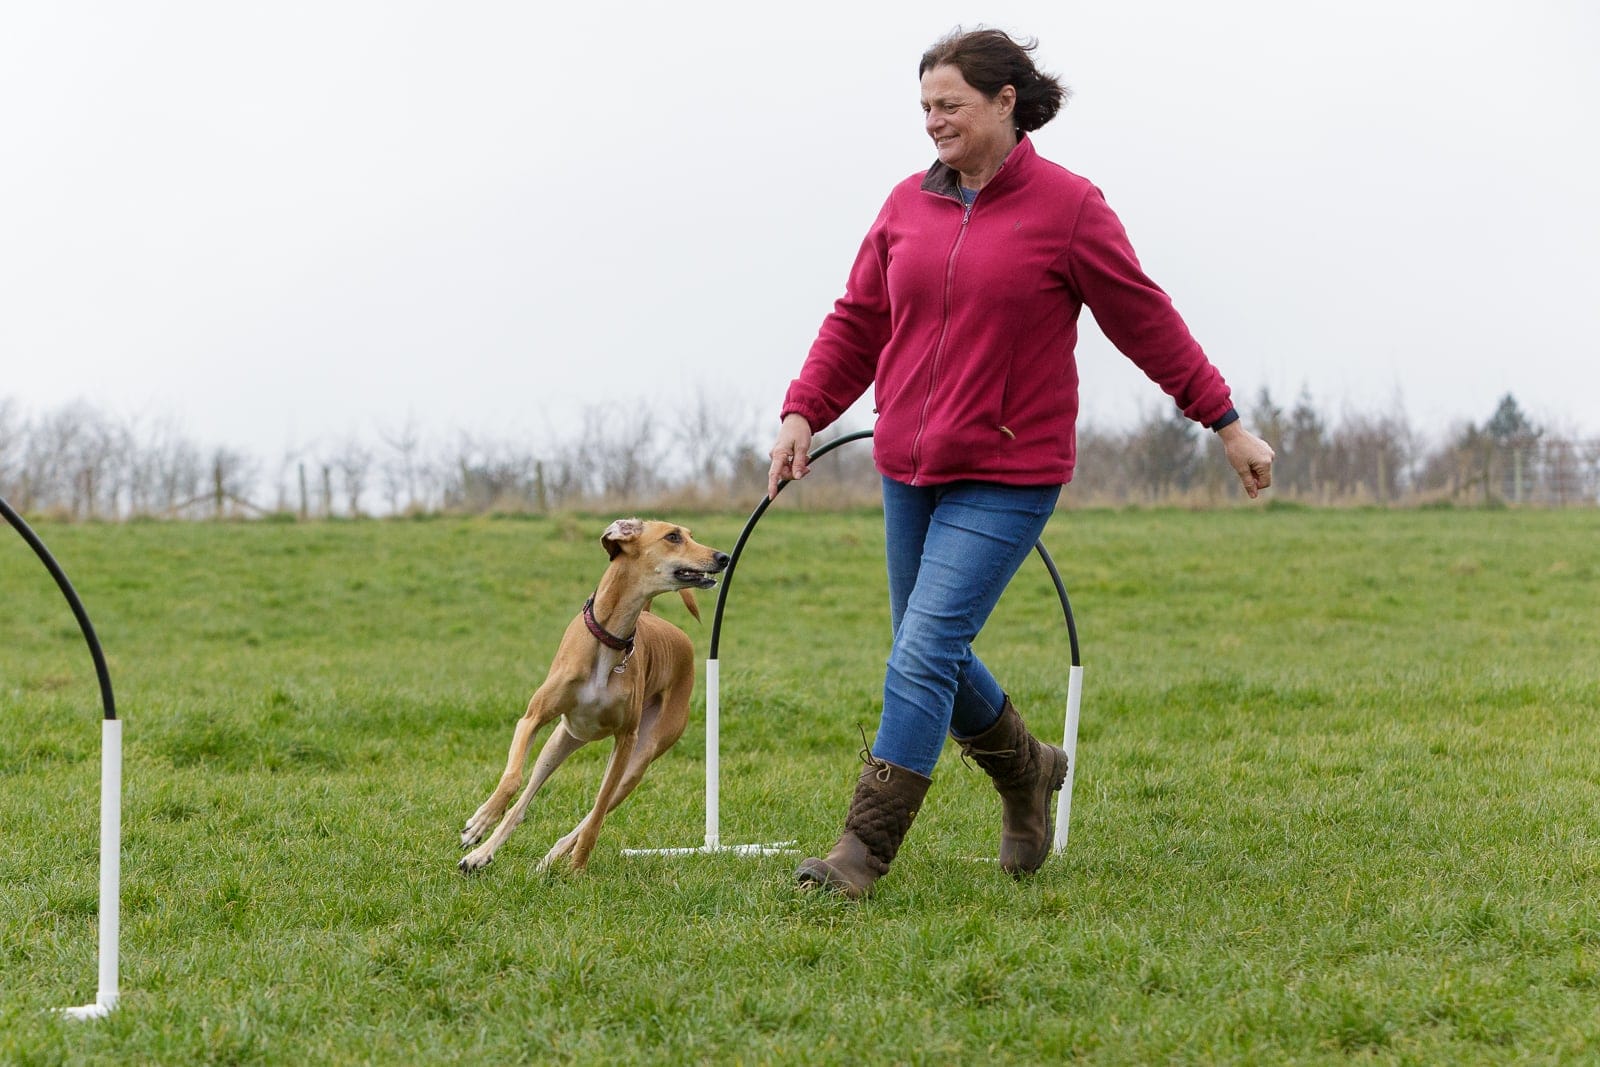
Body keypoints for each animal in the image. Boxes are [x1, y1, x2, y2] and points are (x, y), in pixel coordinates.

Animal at [460, 518, 729, 876]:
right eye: (673, 536)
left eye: (690, 535)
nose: (723, 557)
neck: (610, 639)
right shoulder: (532, 719)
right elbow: (512, 779)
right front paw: (479, 823)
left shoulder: (626, 741)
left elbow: (597, 811)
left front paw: (577, 868)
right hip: (561, 740)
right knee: (524, 800)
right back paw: (481, 853)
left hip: (639, 761)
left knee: (594, 812)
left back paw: (551, 859)